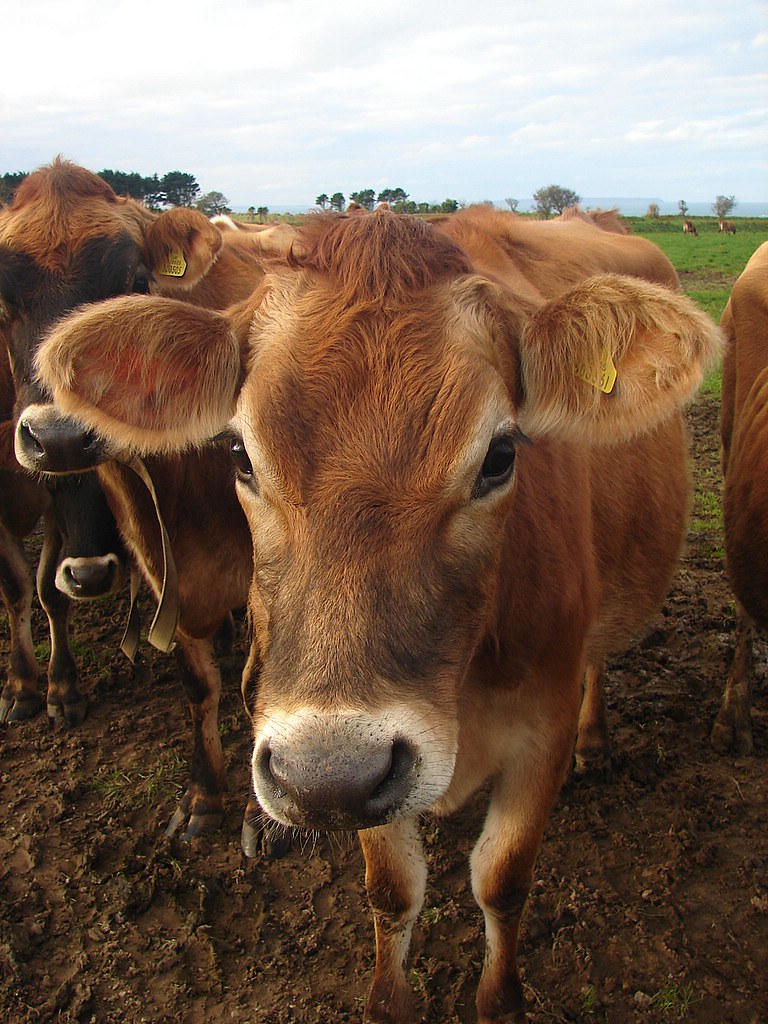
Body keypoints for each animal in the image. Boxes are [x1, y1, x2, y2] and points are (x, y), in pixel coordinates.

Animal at [2, 158, 287, 841]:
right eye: (3, 299)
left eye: (134, 282)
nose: (59, 437)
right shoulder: (161, 566)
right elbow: (196, 683)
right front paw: (205, 794)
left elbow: (257, 686)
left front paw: (261, 817)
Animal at [25, 206, 721, 1021]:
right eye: (239, 454)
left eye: (500, 454)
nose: (326, 776)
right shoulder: (357, 780)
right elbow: (392, 891)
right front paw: (389, 998)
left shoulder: (538, 728)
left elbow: (503, 879)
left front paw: (501, 999)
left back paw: (598, 741)